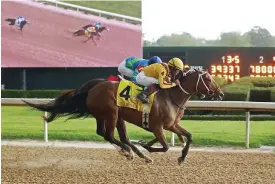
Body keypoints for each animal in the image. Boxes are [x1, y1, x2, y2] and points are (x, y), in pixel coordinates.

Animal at [23, 69, 224, 165]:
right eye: (208, 79)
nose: (220, 94)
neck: (171, 97)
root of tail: (95, 86)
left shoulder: (172, 125)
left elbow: (189, 136)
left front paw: (181, 158)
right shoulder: (159, 127)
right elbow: (165, 146)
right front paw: (147, 146)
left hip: (114, 115)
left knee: (113, 135)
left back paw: (137, 154)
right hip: (111, 113)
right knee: (110, 135)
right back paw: (130, 152)